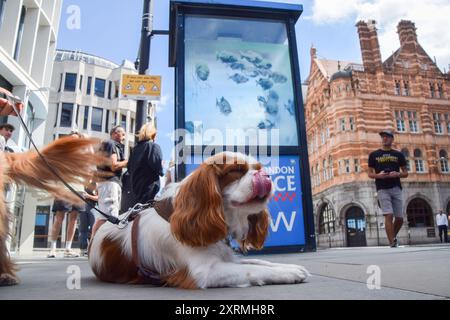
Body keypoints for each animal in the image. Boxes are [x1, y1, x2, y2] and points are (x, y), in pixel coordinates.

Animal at [90, 151, 312, 288]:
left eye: (258, 168)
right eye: (235, 171)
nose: (265, 176)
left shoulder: (226, 258)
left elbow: (259, 262)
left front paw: (290, 268)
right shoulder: (205, 272)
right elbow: (252, 270)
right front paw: (289, 274)